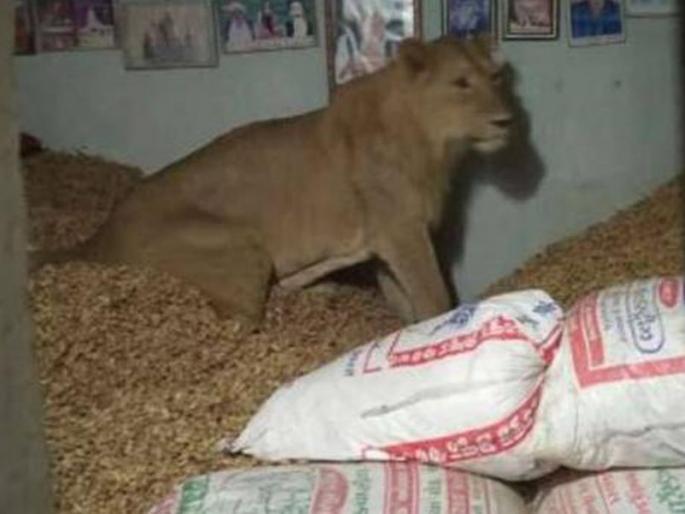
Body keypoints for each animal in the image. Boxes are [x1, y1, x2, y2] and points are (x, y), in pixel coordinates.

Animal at [34, 35, 514, 330]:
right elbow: (433, 298)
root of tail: (97, 238)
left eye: (495, 78)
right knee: (237, 323)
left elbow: (403, 301)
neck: (436, 144)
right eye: (461, 83)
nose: (507, 120)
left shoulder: (386, 241)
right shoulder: (402, 232)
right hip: (240, 246)